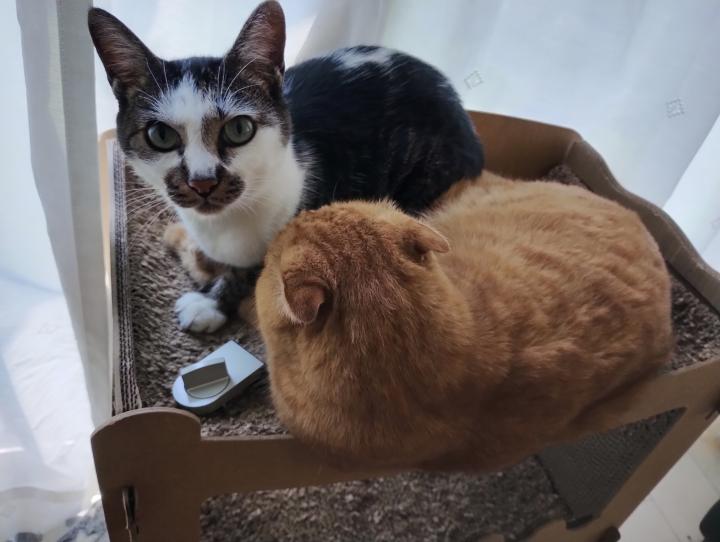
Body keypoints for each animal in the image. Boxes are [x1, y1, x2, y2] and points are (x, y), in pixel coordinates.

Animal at [88, 1, 484, 333]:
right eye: (160, 135)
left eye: (239, 129)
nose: (202, 182)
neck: (228, 222)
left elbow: (258, 269)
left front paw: (210, 302)